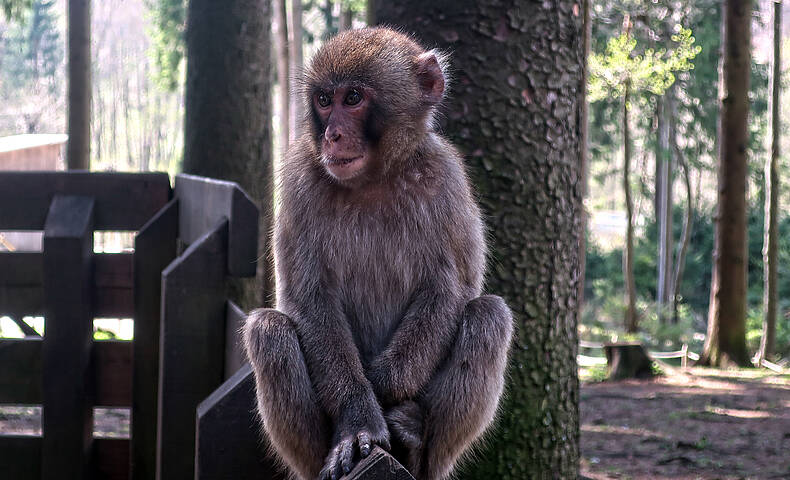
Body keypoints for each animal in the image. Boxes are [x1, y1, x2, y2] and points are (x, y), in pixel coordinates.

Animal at [244, 27, 516, 480]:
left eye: (353, 98)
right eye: (324, 100)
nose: (332, 135)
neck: (373, 178)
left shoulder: (445, 176)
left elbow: (450, 291)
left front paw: (383, 394)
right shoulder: (301, 176)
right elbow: (307, 296)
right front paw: (359, 419)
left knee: (488, 315)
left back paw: (415, 441)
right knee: (268, 330)